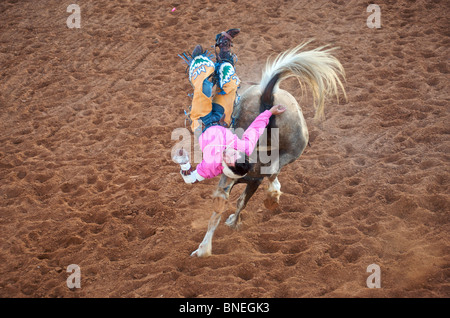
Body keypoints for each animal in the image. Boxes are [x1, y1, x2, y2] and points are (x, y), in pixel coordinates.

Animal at [189, 41, 344, 258]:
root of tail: (267, 95)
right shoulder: (250, 179)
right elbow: (239, 201)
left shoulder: (246, 179)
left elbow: (234, 201)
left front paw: (231, 223)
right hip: (295, 147)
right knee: (272, 171)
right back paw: (272, 196)